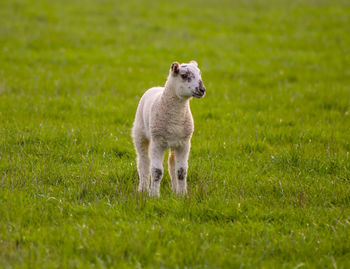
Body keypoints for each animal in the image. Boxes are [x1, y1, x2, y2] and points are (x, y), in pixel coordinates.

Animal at [133, 60, 206, 195]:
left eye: (199, 73)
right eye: (184, 75)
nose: (202, 89)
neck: (175, 119)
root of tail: (156, 87)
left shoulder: (184, 143)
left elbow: (181, 171)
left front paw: (182, 195)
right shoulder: (157, 142)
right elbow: (157, 171)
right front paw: (154, 195)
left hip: (174, 143)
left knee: (172, 163)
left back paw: (175, 189)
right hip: (139, 133)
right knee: (143, 161)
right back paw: (143, 188)